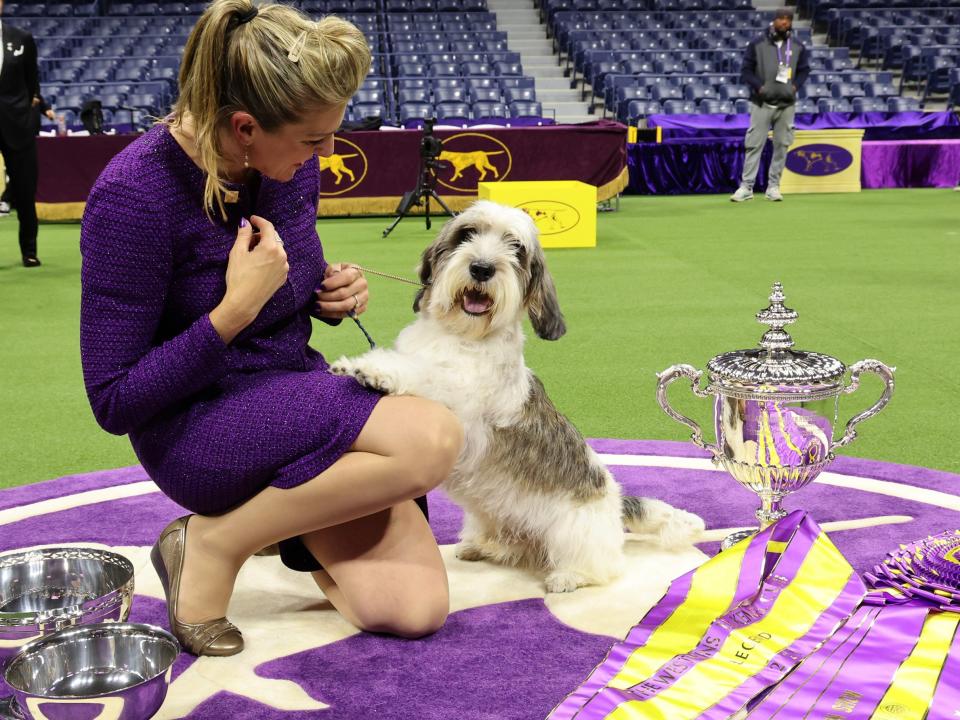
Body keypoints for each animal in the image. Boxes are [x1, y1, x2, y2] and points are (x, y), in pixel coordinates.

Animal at [330, 201, 704, 592]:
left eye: (516, 249)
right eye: (467, 235)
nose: (482, 268)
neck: (461, 337)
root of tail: (617, 501)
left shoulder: (461, 410)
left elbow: (424, 374)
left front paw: (371, 369)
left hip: (575, 531)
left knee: (604, 567)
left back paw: (569, 577)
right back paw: (482, 547)